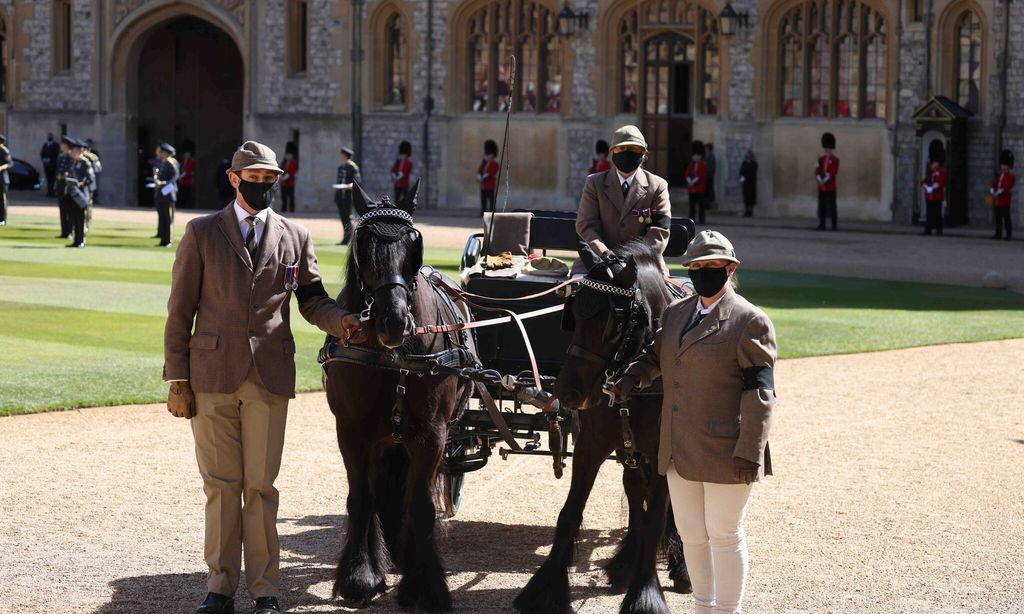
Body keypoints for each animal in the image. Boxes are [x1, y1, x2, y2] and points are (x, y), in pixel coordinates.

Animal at [321, 180, 477, 609]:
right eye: (363, 243)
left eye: (414, 242)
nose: (393, 322)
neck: (395, 357)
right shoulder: (352, 432)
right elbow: (361, 497)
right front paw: (360, 577)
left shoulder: (432, 434)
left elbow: (421, 505)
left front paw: (424, 586)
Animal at [516, 241, 692, 614]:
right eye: (573, 316)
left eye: (614, 323)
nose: (567, 391)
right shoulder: (592, 444)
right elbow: (570, 515)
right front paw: (545, 590)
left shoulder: (662, 453)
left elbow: (657, 518)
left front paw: (645, 594)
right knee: (634, 492)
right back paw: (626, 563)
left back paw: (679, 565)